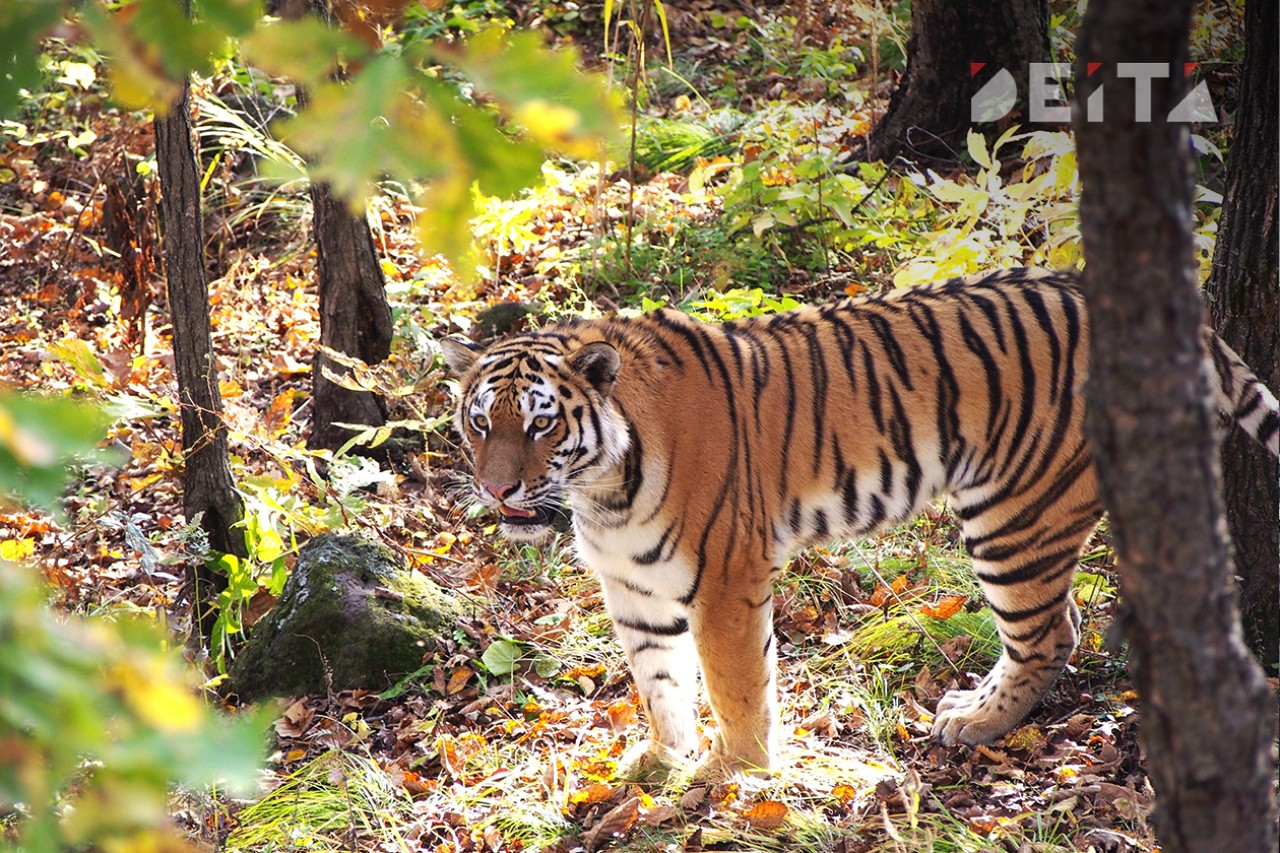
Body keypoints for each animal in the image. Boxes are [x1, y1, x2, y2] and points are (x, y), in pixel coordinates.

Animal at [440, 267, 1280, 783]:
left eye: (542, 424)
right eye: (481, 422)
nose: (497, 488)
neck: (600, 490)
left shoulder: (726, 574)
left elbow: (735, 681)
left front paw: (735, 771)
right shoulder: (632, 584)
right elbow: (658, 678)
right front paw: (662, 758)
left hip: (1013, 514)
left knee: (1047, 632)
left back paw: (978, 723)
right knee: (1060, 622)